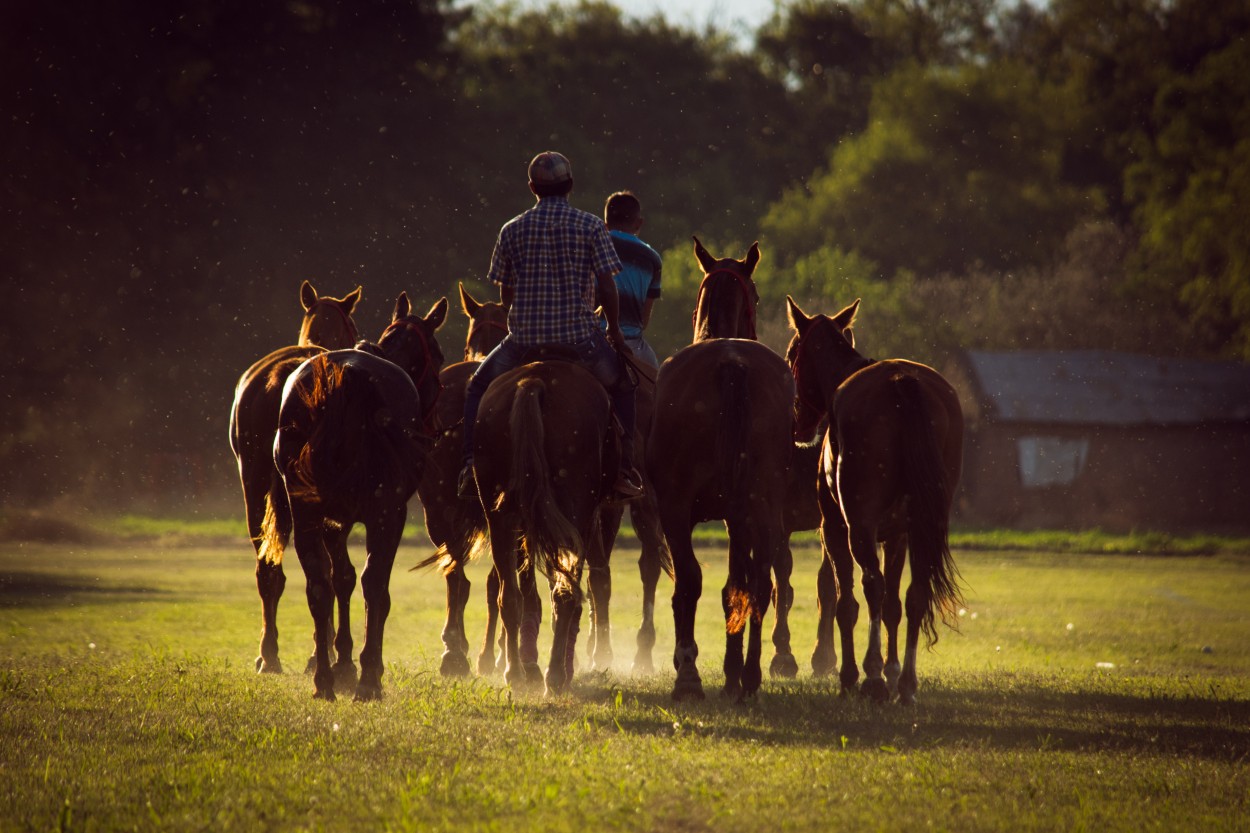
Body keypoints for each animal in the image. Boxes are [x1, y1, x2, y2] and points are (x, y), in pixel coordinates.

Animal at [273, 288, 450, 695]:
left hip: (306, 514)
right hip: (386, 516)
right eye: (439, 355)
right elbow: (369, 585)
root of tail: (348, 377)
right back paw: (369, 679)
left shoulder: (330, 521)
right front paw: (362, 665)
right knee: (374, 585)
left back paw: (324, 680)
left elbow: (340, 579)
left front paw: (341, 663)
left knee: (318, 587)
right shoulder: (385, 515)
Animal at [472, 357, 620, 695]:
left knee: (509, 597)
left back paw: (515, 672)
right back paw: (555, 675)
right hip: (576, 516)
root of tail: (533, 382)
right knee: (565, 595)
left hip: (501, 516)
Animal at [645, 236, 790, 695]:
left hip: (676, 508)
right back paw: (748, 676)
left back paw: (690, 676)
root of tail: (731, 361)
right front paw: (733, 668)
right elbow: (737, 587)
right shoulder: (737, 516)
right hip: (761, 504)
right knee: (758, 582)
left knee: (690, 581)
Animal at [780, 293, 965, 700]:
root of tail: (901, 381)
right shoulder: (898, 535)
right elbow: (894, 603)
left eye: (791, 354)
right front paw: (892, 668)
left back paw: (872, 678)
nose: (796, 422)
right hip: (921, 526)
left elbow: (845, 601)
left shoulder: (836, 528)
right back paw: (906, 683)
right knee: (915, 593)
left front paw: (857, 672)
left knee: (870, 587)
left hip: (859, 530)